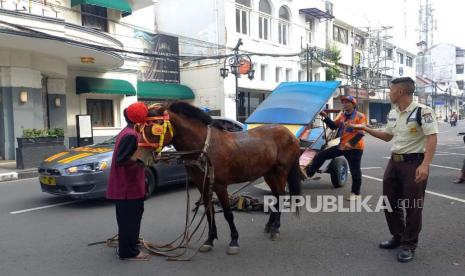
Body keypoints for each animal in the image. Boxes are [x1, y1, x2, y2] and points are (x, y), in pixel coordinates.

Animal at [136, 101, 302, 254]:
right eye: (140, 127)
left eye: (156, 125)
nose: (139, 158)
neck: (205, 148)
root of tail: (289, 134)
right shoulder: (202, 185)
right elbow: (209, 212)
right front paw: (209, 240)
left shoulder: (220, 185)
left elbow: (228, 213)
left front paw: (234, 240)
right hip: (269, 173)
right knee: (275, 196)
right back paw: (270, 225)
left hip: (281, 171)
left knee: (281, 195)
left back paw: (276, 229)